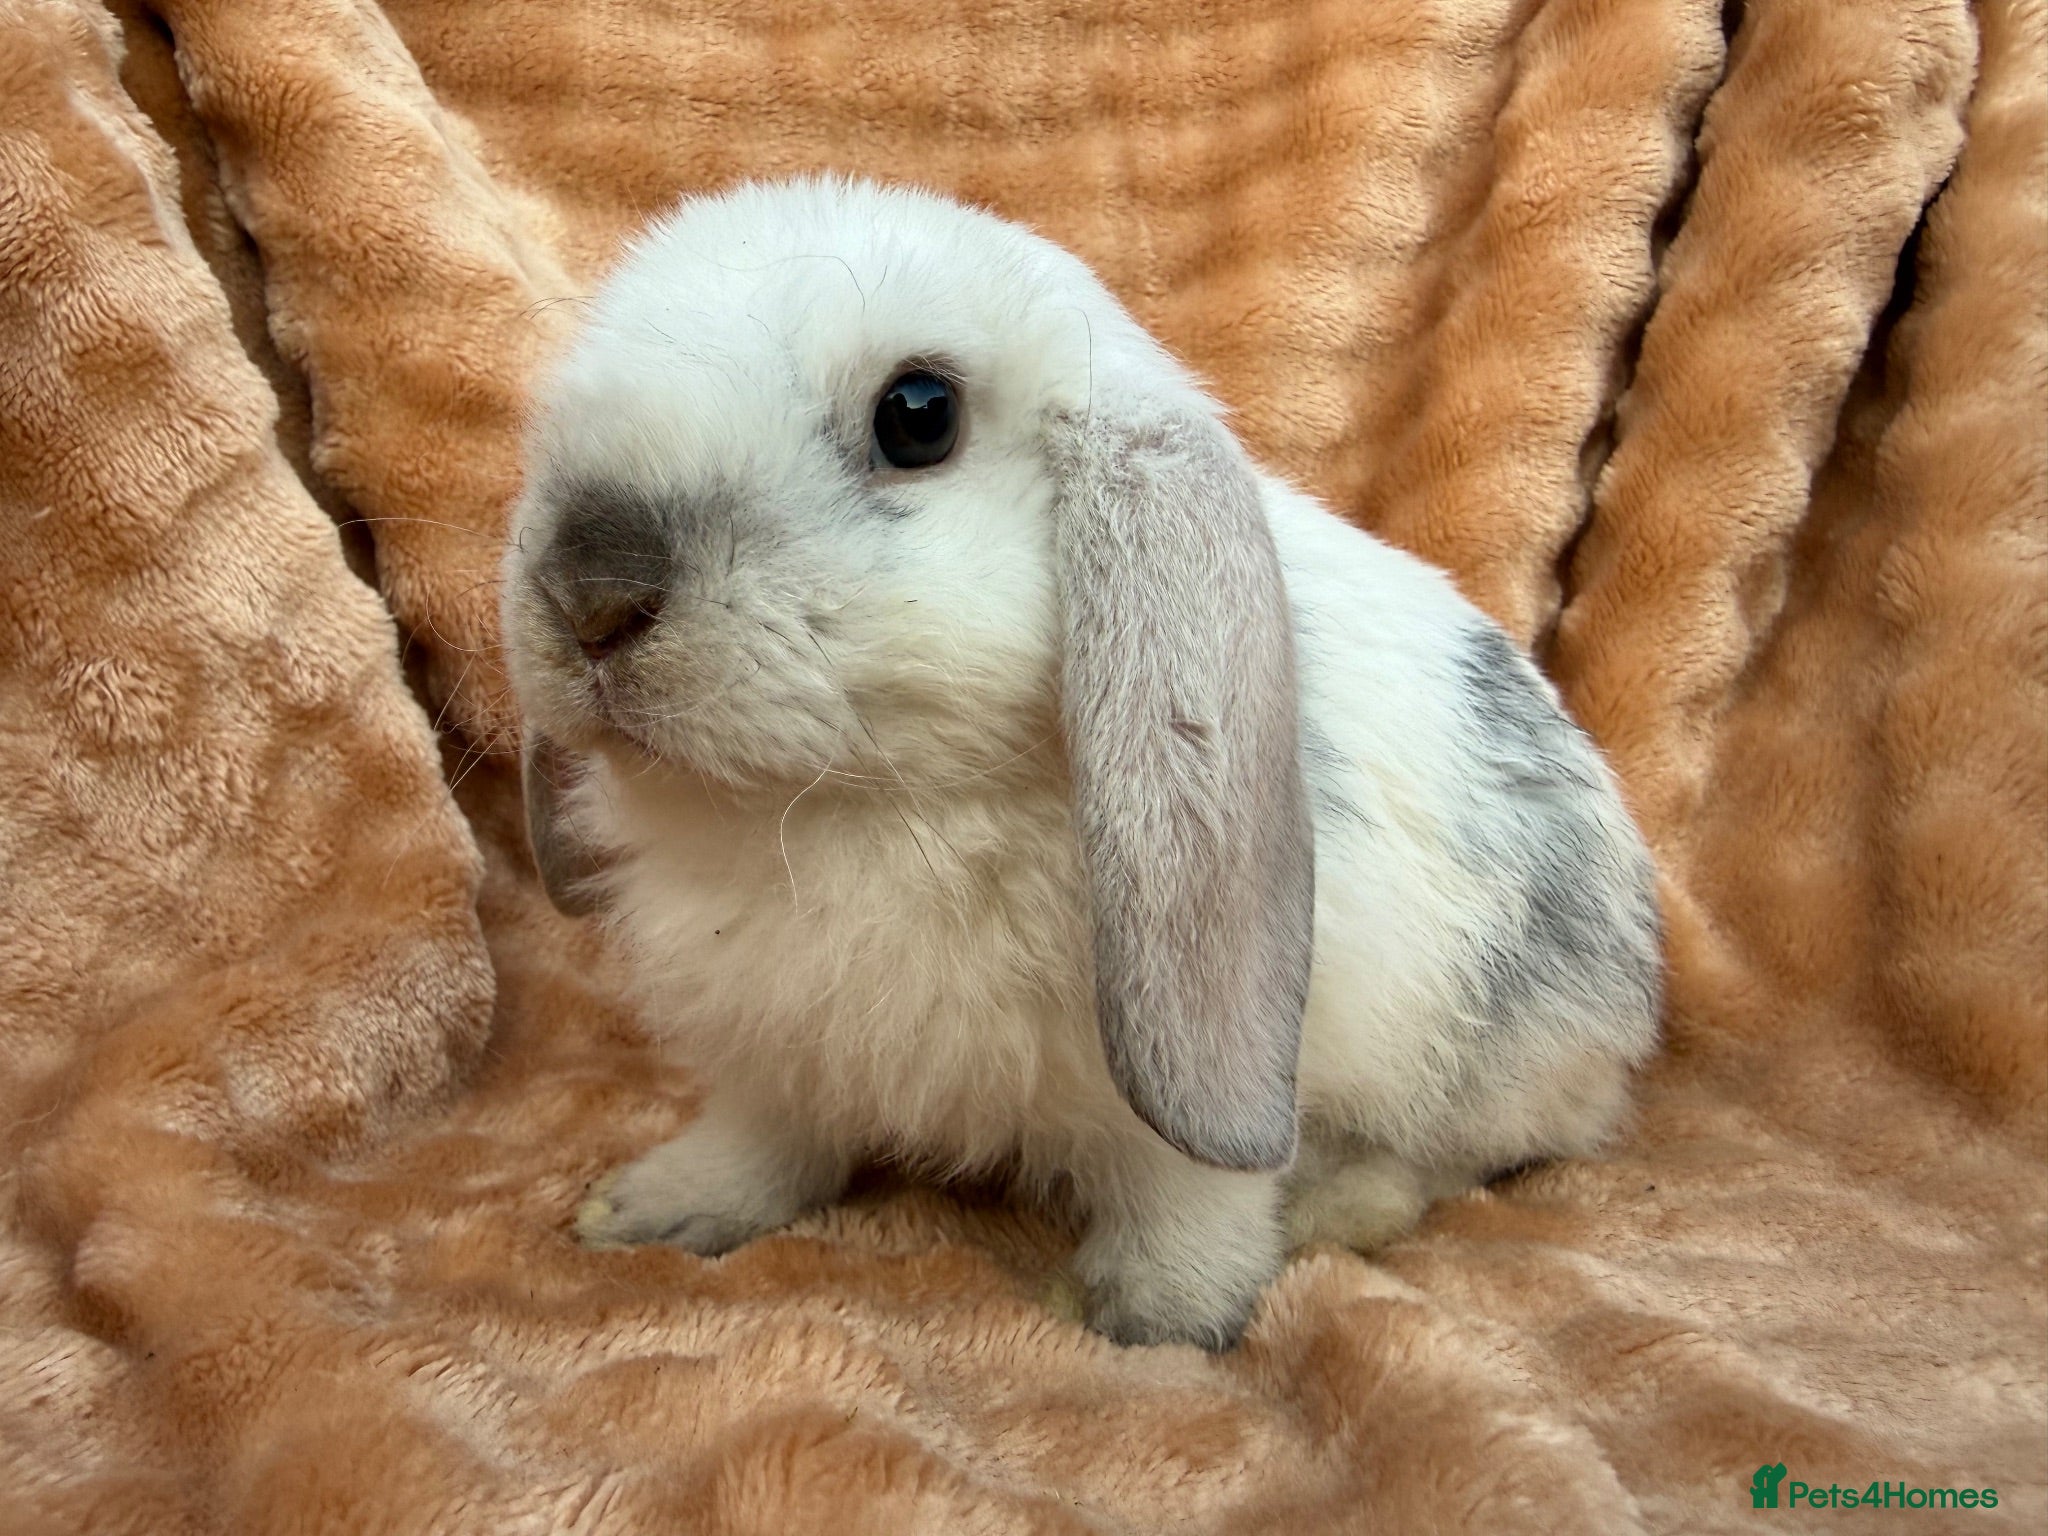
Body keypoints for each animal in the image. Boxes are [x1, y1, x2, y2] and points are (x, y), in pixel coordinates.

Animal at [500, 176, 1662, 1351]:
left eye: (917, 415)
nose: (589, 593)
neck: (849, 810)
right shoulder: (774, 1054)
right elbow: (762, 1144)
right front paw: (655, 1211)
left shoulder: (1197, 1082)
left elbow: (1193, 1200)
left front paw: (1148, 1320)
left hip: (1499, 1056)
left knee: (1445, 1160)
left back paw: (1333, 1209)